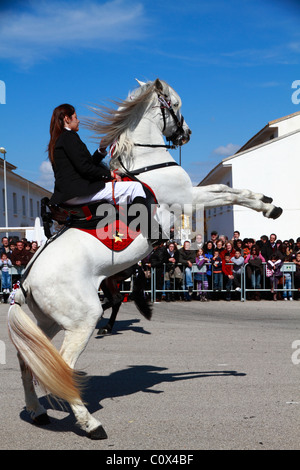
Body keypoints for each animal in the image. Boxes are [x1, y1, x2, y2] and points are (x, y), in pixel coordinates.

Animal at [7, 77, 282, 440]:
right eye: (176, 105)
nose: (186, 133)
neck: (145, 163)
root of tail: (26, 280)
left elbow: (231, 191)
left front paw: (267, 201)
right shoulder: (187, 197)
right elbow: (227, 192)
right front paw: (268, 206)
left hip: (48, 322)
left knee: (29, 361)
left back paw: (38, 412)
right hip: (81, 319)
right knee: (63, 366)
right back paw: (90, 424)